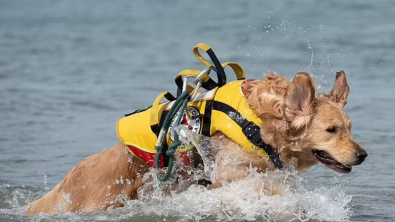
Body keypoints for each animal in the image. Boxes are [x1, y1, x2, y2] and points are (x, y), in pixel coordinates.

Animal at [27, 70, 368, 213]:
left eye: (350, 128)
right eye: (332, 130)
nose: (363, 155)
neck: (259, 125)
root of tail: (72, 177)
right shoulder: (230, 175)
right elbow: (267, 189)